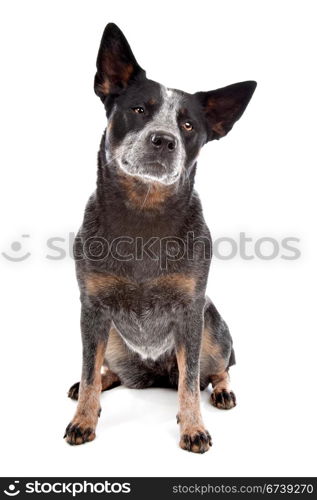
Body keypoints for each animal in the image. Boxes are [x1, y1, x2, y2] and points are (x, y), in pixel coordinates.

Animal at [63, 23, 254, 454]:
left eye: (188, 126)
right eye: (139, 110)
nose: (164, 139)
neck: (143, 218)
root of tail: (152, 374)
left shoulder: (190, 311)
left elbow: (190, 382)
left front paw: (193, 427)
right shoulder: (92, 309)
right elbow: (88, 370)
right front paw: (83, 418)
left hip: (213, 326)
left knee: (217, 368)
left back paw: (222, 391)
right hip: (114, 339)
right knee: (107, 371)